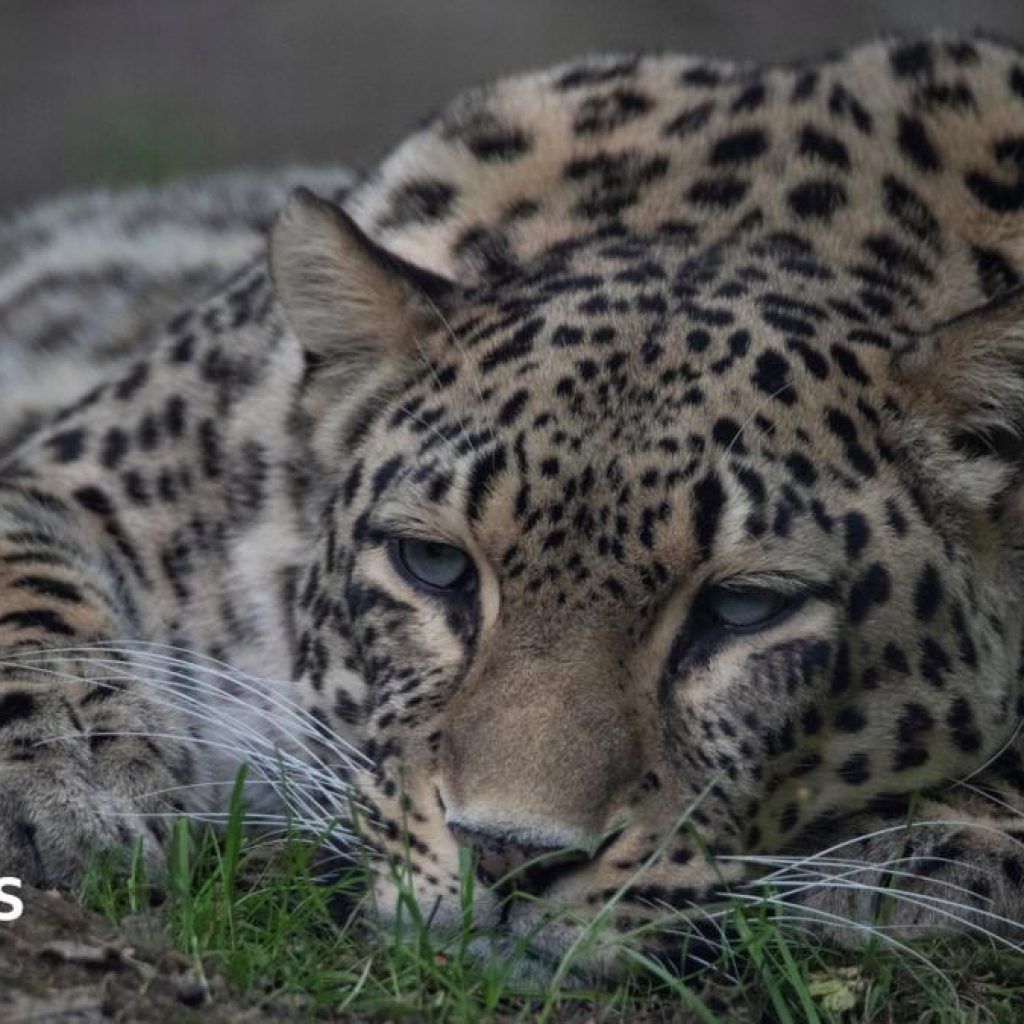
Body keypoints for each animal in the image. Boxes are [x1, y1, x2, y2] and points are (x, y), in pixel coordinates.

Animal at [4, 30, 1024, 976]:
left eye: (744, 608)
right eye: (433, 564)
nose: (505, 854)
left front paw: (932, 847)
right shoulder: (93, 476)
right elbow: (32, 596)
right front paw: (69, 782)